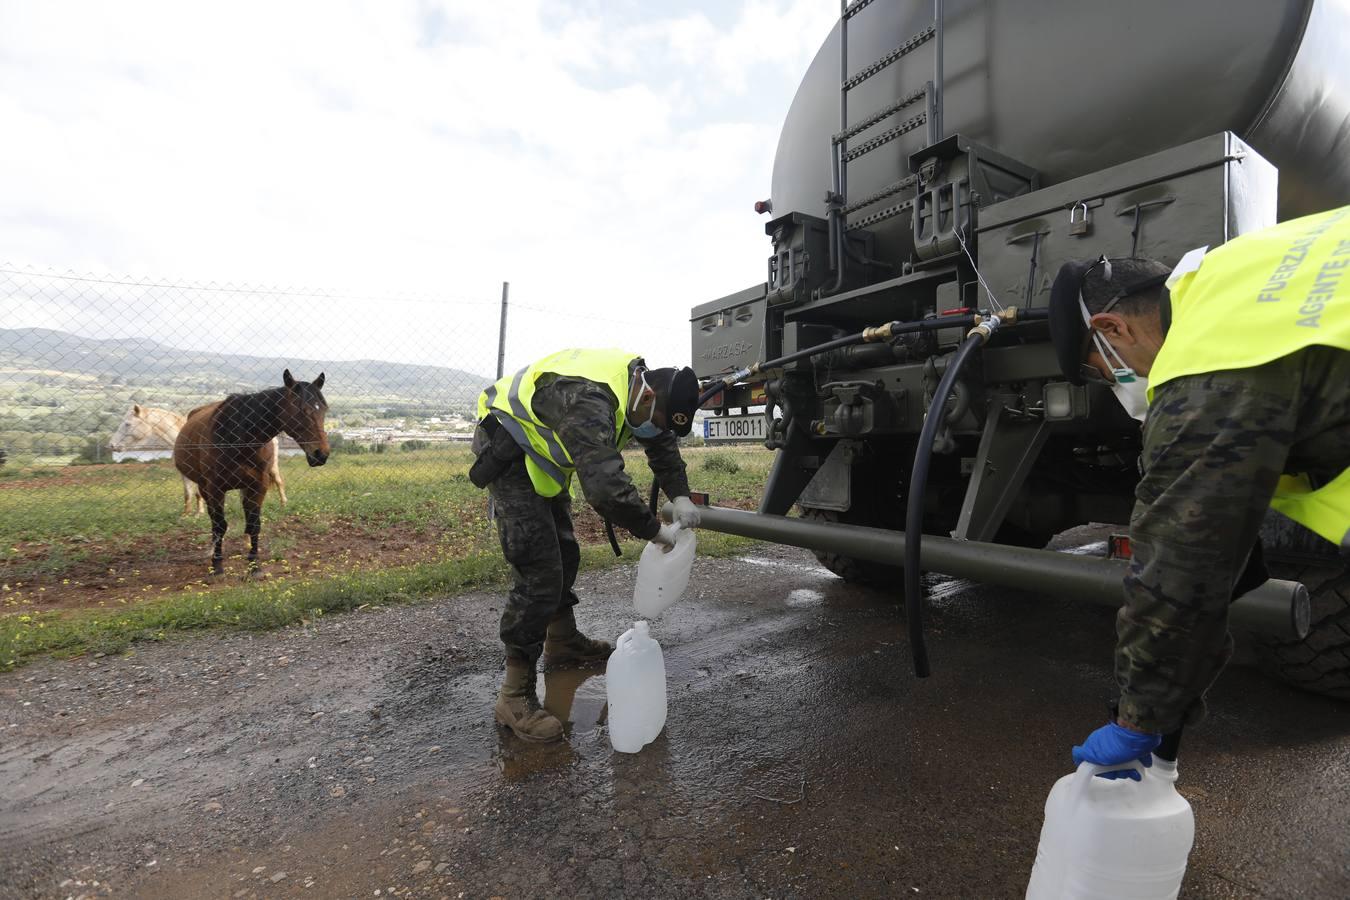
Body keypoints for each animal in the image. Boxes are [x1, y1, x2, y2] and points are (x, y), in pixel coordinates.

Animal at [112, 407, 288, 512]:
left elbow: (193, 493)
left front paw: (194, 514)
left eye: (127, 424)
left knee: (279, 482)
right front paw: (193, 514)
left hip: (271, 467)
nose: (113, 445)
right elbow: (192, 493)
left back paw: (283, 504)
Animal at [175, 367, 330, 574]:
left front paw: (254, 565)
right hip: (204, 487)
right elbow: (219, 525)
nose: (321, 454)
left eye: (324, 410)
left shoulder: (258, 485)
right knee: (213, 519)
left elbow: (254, 524)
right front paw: (217, 564)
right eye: (301, 410)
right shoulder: (215, 489)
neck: (238, 439)